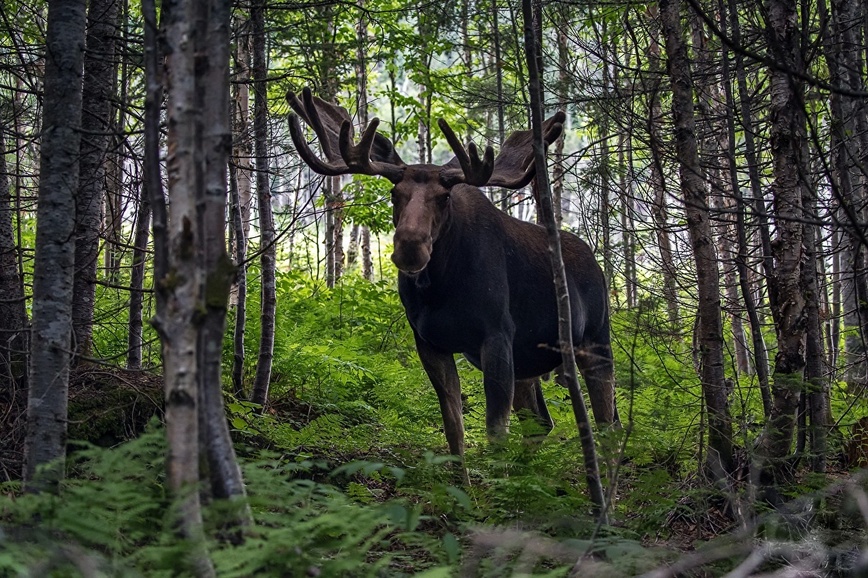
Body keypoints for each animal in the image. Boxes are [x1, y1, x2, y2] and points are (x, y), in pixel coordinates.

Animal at [290, 88, 616, 468]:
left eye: (444, 196)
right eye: (394, 194)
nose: (410, 247)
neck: (441, 289)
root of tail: (597, 265)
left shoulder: (497, 336)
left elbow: (495, 433)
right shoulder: (430, 343)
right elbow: (454, 432)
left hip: (596, 342)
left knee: (606, 423)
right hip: (530, 362)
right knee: (541, 423)